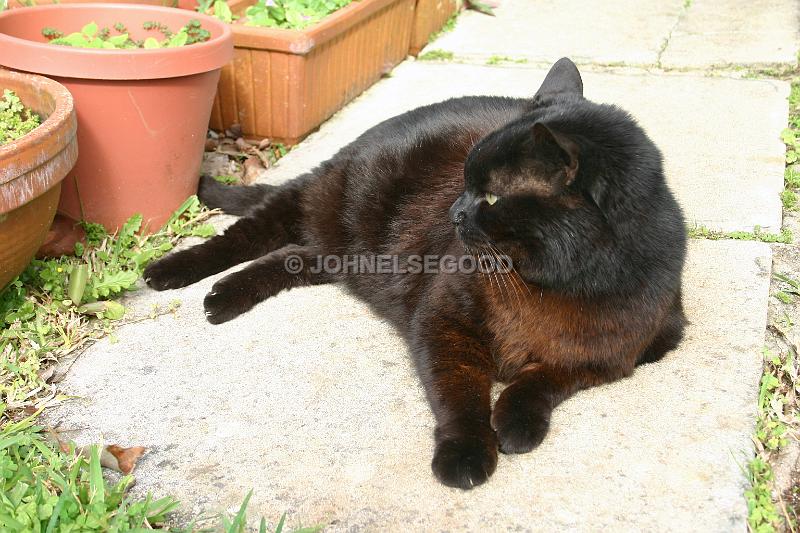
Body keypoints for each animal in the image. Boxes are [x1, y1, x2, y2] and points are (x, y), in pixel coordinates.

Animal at [145, 57, 688, 486]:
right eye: (466, 183)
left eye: (491, 198)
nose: (454, 210)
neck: (552, 287)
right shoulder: (443, 323)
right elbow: (461, 394)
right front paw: (466, 453)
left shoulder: (626, 351)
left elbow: (546, 379)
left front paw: (516, 424)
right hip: (320, 205)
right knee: (247, 234)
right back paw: (175, 274)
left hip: (351, 256)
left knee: (291, 258)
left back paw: (224, 297)